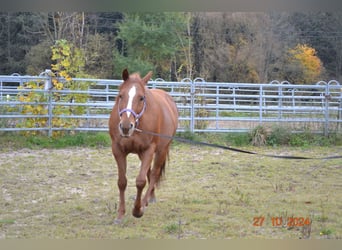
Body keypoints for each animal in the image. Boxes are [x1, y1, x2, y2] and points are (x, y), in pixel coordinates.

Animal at [109, 68, 179, 223]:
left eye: (141, 98)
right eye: (120, 95)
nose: (126, 126)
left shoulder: (149, 150)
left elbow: (141, 181)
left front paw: (137, 210)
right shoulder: (118, 150)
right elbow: (122, 182)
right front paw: (120, 214)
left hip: (161, 150)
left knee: (154, 174)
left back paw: (145, 201)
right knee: (149, 172)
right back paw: (150, 197)